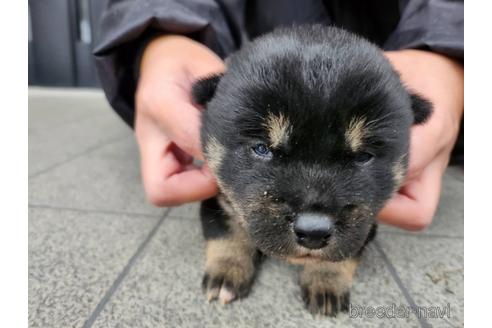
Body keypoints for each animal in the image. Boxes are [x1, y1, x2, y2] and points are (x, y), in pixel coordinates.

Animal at [191, 24, 430, 316]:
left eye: (363, 156)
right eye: (261, 148)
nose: (313, 231)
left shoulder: (366, 221)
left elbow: (345, 251)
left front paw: (325, 281)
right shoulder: (219, 195)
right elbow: (227, 232)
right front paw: (226, 273)